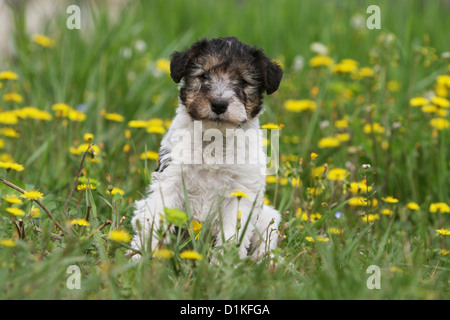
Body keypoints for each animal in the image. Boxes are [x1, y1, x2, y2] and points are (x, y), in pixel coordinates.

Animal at [130, 36, 284, 260]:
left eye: (244, 82)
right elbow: (155, 219)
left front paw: (223, 266)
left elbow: (232, 236)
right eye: (203, 76)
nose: (219, 104)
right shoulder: (171, 180)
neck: (214, 140)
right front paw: (139, 258)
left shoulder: (240, 193)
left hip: (267, 218)